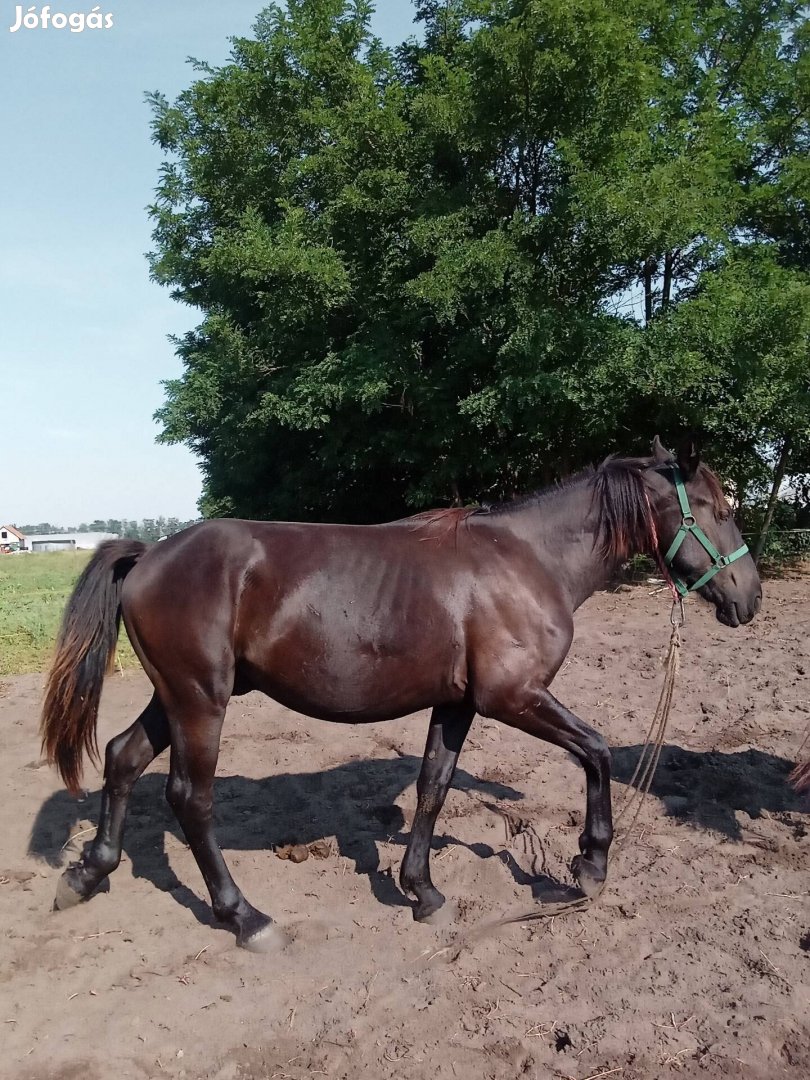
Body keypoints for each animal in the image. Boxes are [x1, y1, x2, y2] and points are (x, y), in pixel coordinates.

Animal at [38, 434, 760, 950]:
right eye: (722, 511)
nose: (749, 598)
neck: (527, 561)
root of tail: (150, 554)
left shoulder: (459, 704)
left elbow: (433, 787)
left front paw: (422, 892)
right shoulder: (513, 697)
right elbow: (599, 751)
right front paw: (590, 864)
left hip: (177, 697)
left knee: (123, 758)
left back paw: (87, 873)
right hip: (199, 702)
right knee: (191, 798)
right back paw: (246, 918)